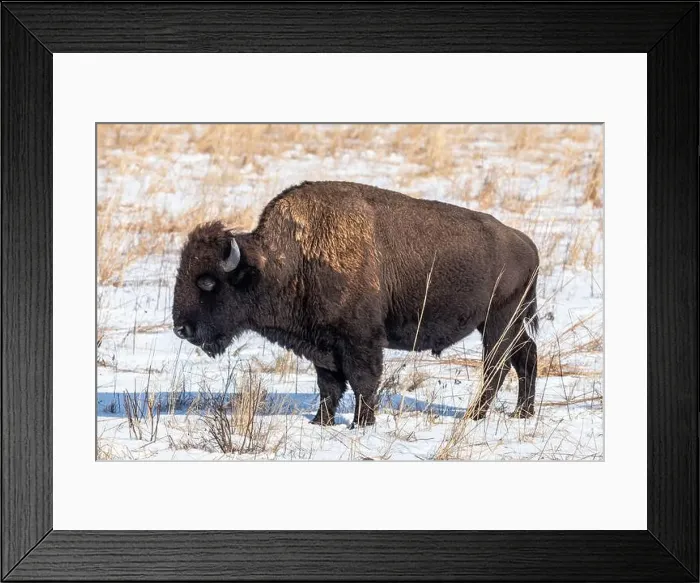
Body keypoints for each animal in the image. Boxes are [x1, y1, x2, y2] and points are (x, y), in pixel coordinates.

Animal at [173, 181, 539, 427]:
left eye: (207, 282)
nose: (180, 328)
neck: (288, 260)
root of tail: (525, 243)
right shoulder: (323, 344)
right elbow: (329, 385)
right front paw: (320, 421)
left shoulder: (360, 340)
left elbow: (363, 380)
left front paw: (361, 423)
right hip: (506, 322)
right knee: (526, 356)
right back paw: (522, 413)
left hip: (498, 322)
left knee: (497, 365)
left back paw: (475, 416)